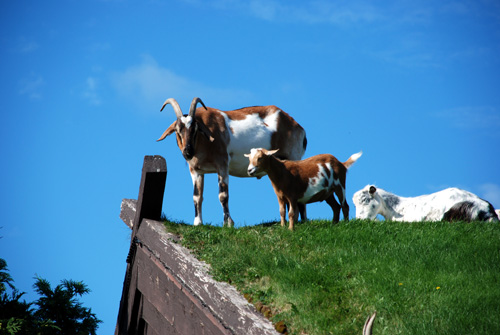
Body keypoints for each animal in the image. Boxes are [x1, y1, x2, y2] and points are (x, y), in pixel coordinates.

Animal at [158, 98, 306, 228]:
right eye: (178, 130)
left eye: (195, 129)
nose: (188, 152)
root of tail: (299, 128)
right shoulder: (196, 170)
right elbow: (197, 196)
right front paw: (198, 223)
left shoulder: (222, 165)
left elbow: (223, 195)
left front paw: (228, 223)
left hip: (293, 157)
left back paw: (299, 221)